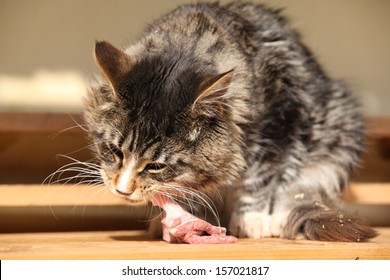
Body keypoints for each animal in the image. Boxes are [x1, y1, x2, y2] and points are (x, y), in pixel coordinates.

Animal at [84, 1, 376, 241]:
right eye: (114, 151)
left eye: (155, 166)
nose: (122, 190)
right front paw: (184, 222)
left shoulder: (281, 123)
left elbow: (260, 180)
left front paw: (251, 221)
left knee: (296, 193)